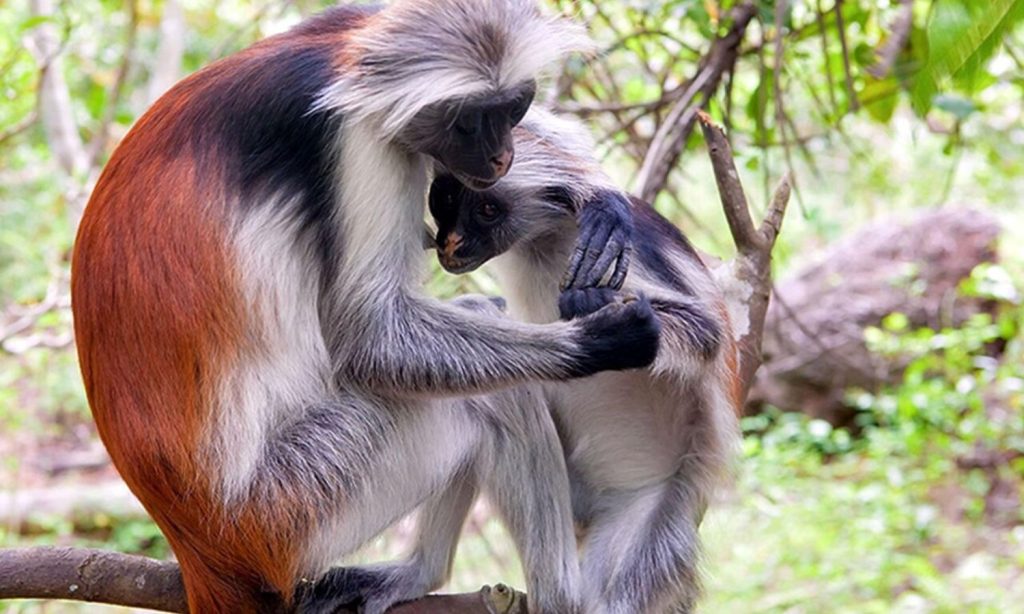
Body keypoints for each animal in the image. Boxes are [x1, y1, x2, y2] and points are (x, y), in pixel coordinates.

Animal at [70, 3, 661, 613]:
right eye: (470, 121)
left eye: (512, 108)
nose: (503, 156)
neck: (340, 66)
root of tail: (200, 550)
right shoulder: (356, 139)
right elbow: (370, 339)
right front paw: (598, 341)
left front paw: (593, 188)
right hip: (295, 505)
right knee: (495, 397)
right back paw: (553, 594)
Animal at [428, 107, 742, 614]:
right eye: (447, 198)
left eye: (487, 210)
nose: (450, 243)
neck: (545, 236)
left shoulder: (620, 255)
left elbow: (707, 334)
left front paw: (595, 305)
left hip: (649, 511)